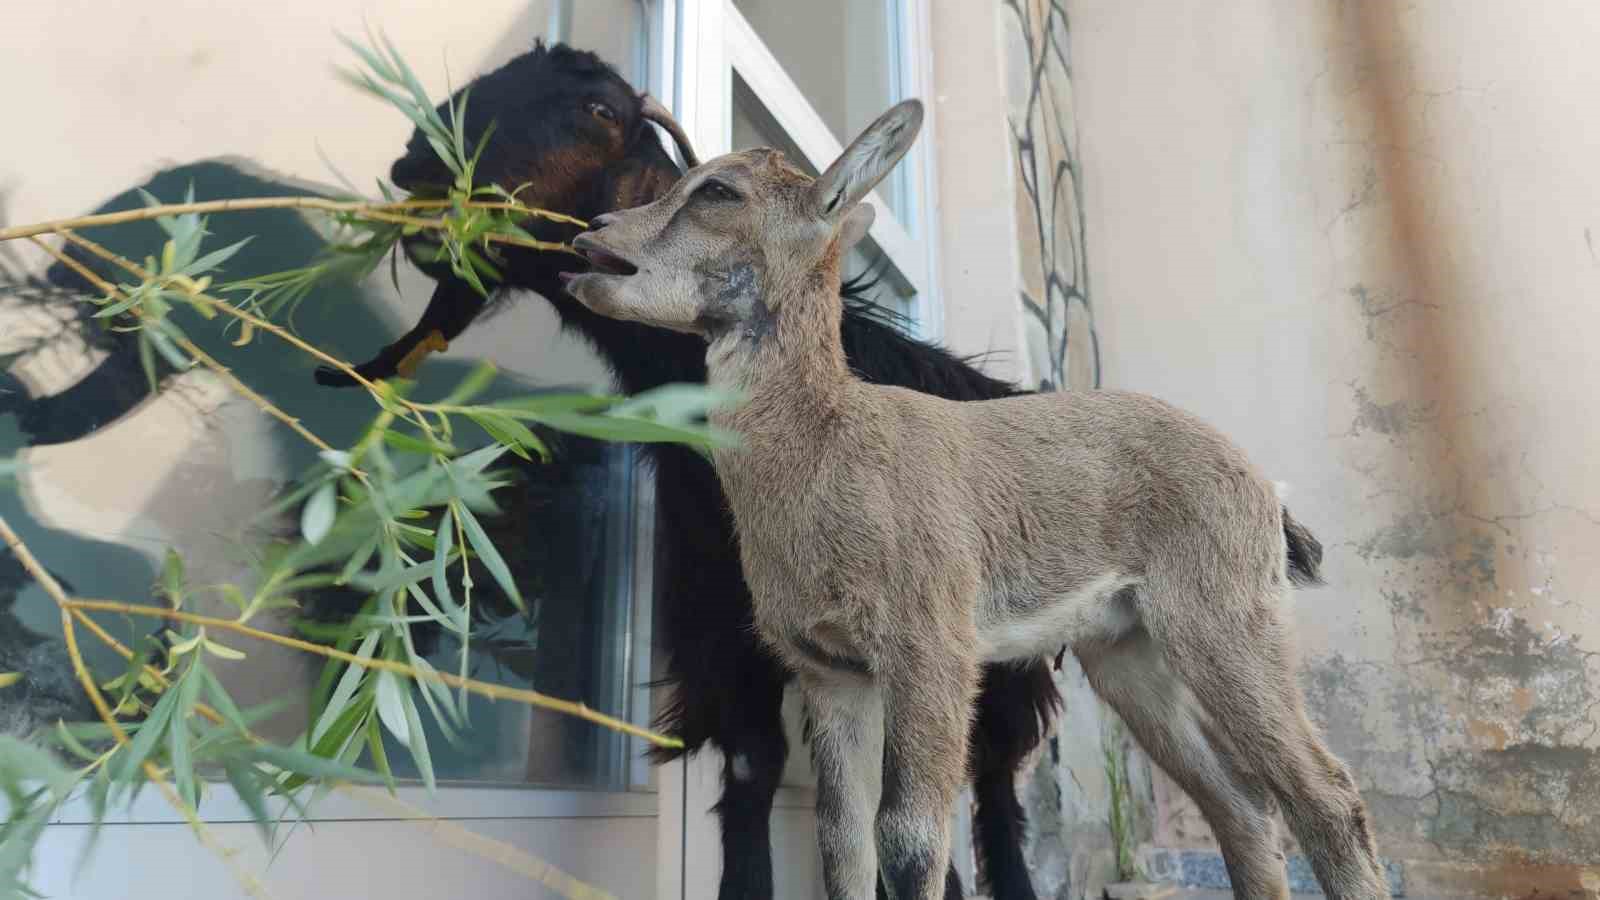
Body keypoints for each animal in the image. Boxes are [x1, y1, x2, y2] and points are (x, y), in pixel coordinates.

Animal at [563, 99, 1388, 896]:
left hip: (1223, 624)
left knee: (1326, 793)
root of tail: (1265, 492)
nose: (591, 239)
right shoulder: (831, 672)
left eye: (718, 191)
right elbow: (843, 844)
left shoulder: (933, 647)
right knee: (1242, 809)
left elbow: (909, 841)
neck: (828, 452)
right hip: (1127, 654)